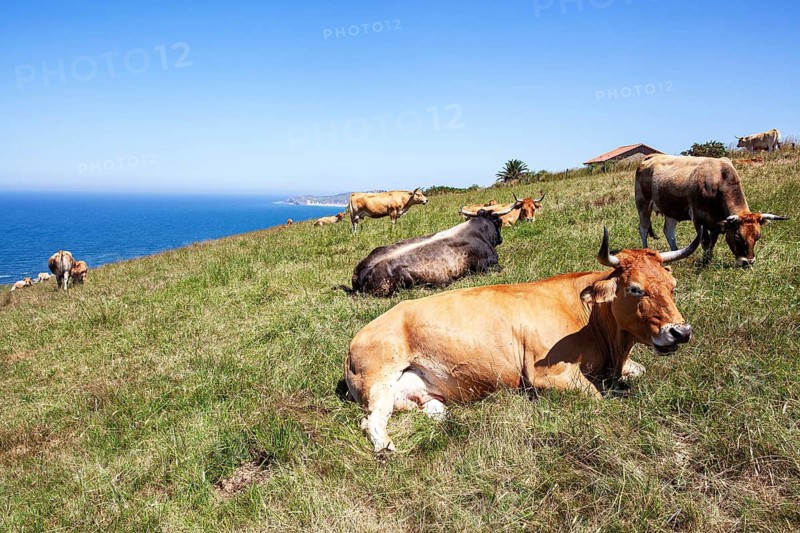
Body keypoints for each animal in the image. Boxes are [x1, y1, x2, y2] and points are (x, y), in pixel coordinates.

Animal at [344, 227, 700, 453]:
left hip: (422, 396)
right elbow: (598, 399)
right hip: (378, 380)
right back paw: (386, 447)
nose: (680, 332)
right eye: (636, 289)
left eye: (672, 285)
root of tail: (359, 336)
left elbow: (638, 371)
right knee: (370, 421)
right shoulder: (547, 374)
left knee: (433, 413)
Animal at [635, 154, 788, 266]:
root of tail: (651, 156)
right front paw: (705, 262)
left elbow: (712, 242)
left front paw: (709, 259)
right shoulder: (699, 218)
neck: (719, 180)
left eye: (758, 236)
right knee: (644, 229)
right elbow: (705, 241)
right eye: (737, 236)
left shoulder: (715, 222)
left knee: (669, 230)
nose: (748, 262)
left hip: (671, 210)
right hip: (643, 204)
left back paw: (675, 251)